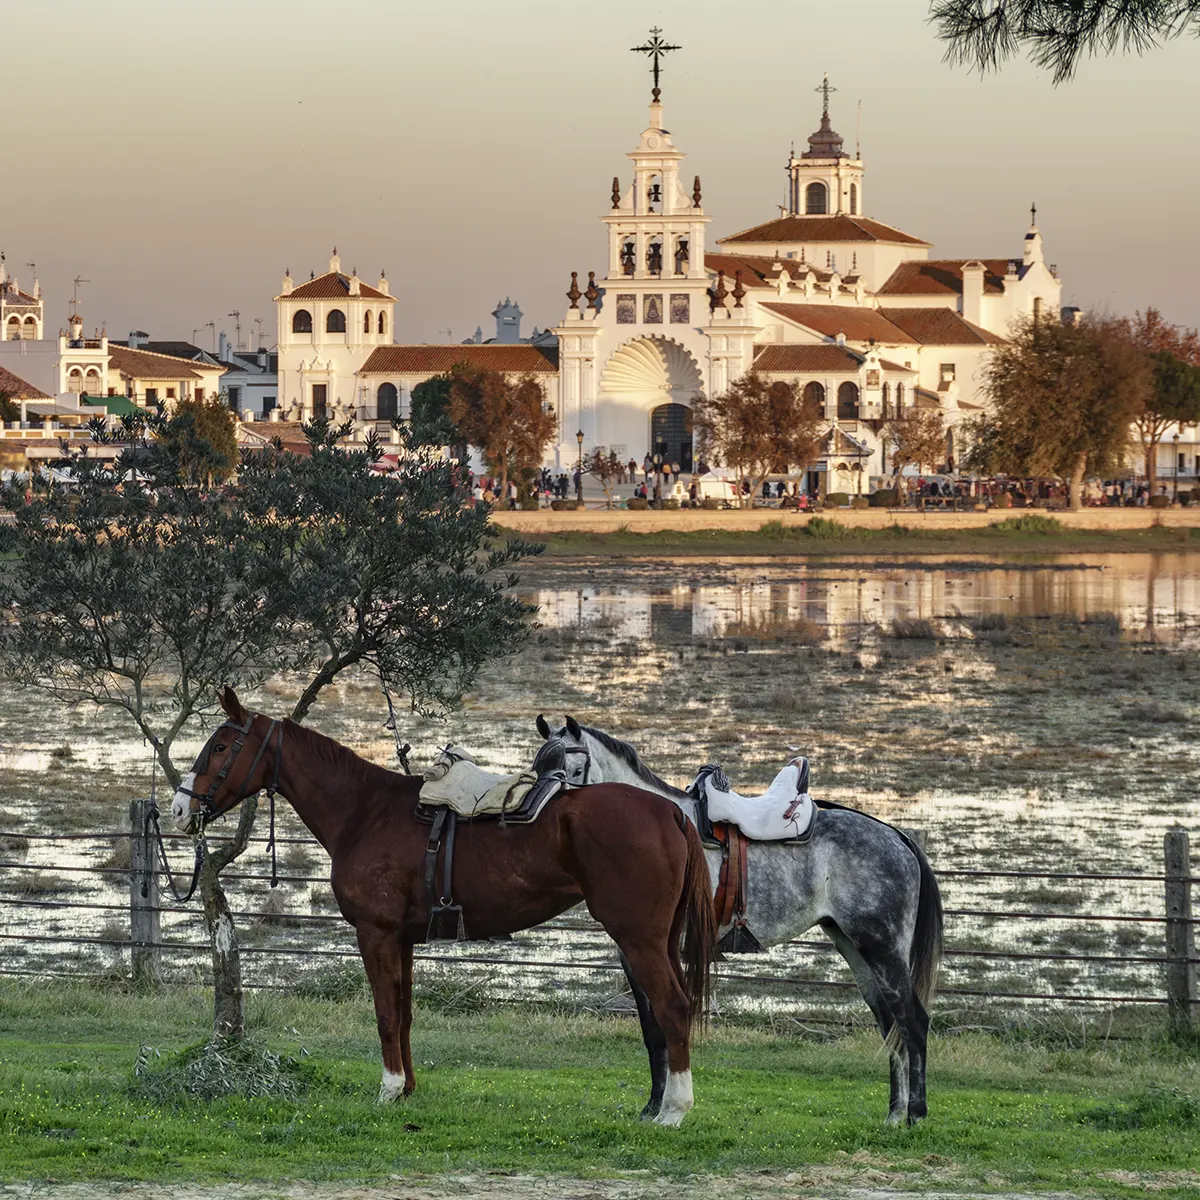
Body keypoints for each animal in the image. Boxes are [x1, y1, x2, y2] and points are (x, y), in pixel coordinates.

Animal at [169, 691, 710, 1128]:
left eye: (221, 747)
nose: (179, 808)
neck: (364, 811)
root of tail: (670, 812)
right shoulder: (403, 940)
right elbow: (404, 1014)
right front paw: (407, 1089)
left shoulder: (376, 934)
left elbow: (386, 1015)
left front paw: (388, 1091)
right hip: (660, 939)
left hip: (637, 938)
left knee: (672, 1007)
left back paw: (674, 1110)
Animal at [537, 715, 945, 1128]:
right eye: (538, 766)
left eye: (573, 769)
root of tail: (897, 837)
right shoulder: (634, 952)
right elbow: (653, 1032)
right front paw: (651, 1108)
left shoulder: (651, 949)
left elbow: (666, 1023)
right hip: (856, 949)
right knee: (890, 1022)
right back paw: (894, 1115)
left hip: (882, 948)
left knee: (913, 1021)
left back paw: (915, 1114)